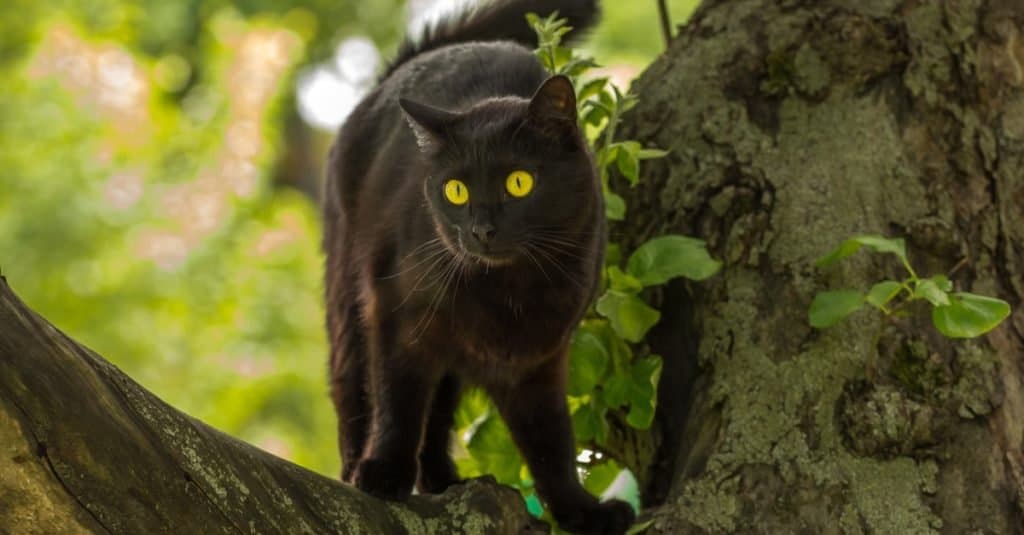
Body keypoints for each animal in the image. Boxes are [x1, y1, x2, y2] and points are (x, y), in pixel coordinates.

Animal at [325, 1, 630, 528]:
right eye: (455, 190)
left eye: (519, 182)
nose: (481, 229)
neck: (508, 290)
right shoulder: (398, 316)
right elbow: (397, 399)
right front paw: (384, 473)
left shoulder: (539, 358)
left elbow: (551, 442)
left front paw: (581, 512)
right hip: (349, 300)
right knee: (355, 390)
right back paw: (356, 469)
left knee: (439, 411)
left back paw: (444, 479)